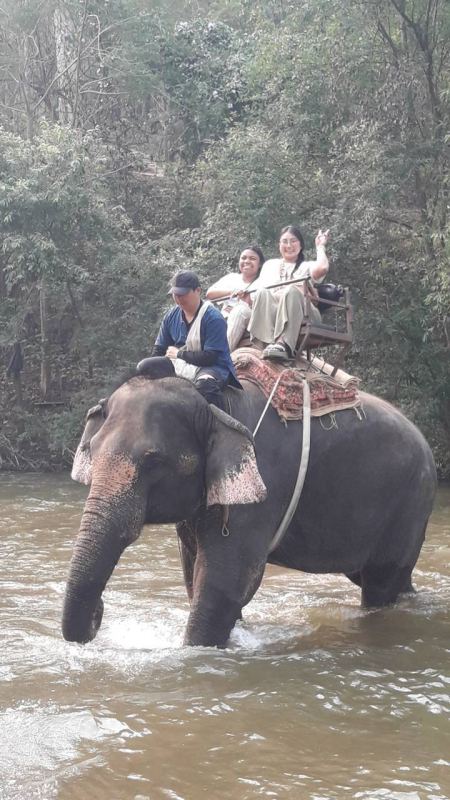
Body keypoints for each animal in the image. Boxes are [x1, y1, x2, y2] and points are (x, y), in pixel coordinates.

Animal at [63, 371, 437, 648]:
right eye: (91, 450)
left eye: (153, 461)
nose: (99, 613)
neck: (213, 404)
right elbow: (193, 573)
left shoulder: (262, 488)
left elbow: (225, 580)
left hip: (410, 503)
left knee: (379, 584)